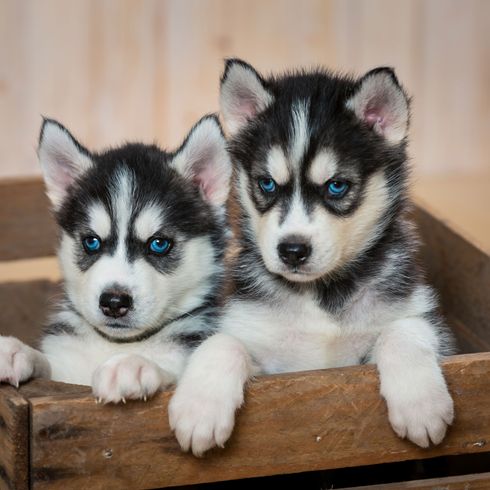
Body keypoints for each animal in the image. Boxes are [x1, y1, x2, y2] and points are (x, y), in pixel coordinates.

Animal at [0, 114, 232, 402]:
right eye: (91, 242)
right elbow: (47, 365)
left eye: (159, 244)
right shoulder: (65, 371)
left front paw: (131, 365)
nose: (113, 302)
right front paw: (15, 351)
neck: (116, 343)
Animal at [171, 60, 456, 456]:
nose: (292, 250)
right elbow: (223, 342)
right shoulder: (259, 343)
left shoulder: (429, 326)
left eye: (336, 185)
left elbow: (405, 330)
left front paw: (420, 404)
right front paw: (199, 410)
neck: (322, 296)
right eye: (267, 184)